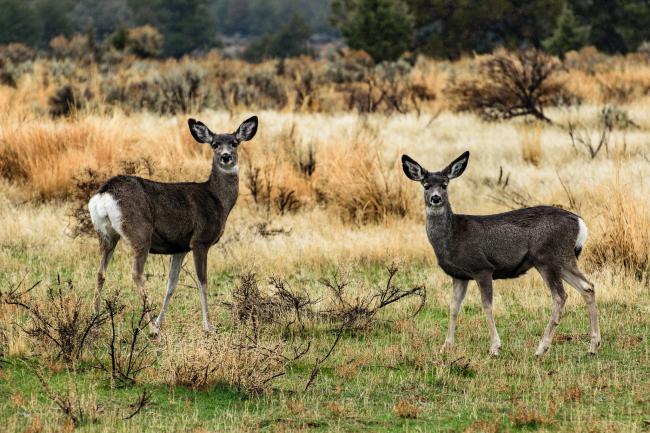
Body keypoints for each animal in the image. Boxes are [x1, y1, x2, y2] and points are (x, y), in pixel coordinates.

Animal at [88, 115, 258, 334]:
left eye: (235, 143)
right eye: (215, 144)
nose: (226, 156)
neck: (218, 200)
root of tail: (103, 194)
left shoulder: (180, 247)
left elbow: (172, 284)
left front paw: (162, 321)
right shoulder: (200, 241)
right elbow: (202, 283)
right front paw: (208, 327)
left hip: (106, 234)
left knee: (101, 272)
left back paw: (96, 323)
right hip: (140, 230)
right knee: (137, 273)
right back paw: (152, 328)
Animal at [402, 151, 600, 354]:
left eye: (444, 184)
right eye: (426, 185)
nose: (435, 198)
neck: (452, 236)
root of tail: (579, 222)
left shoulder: (481, 266)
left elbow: (487, 305)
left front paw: (495, 347)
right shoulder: (459, 275)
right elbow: (453, 307)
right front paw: (446, 346)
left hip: (546, 258)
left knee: (560, 296)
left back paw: (541, 348)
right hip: (565, 259)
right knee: (587, 287)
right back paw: (593, 346)